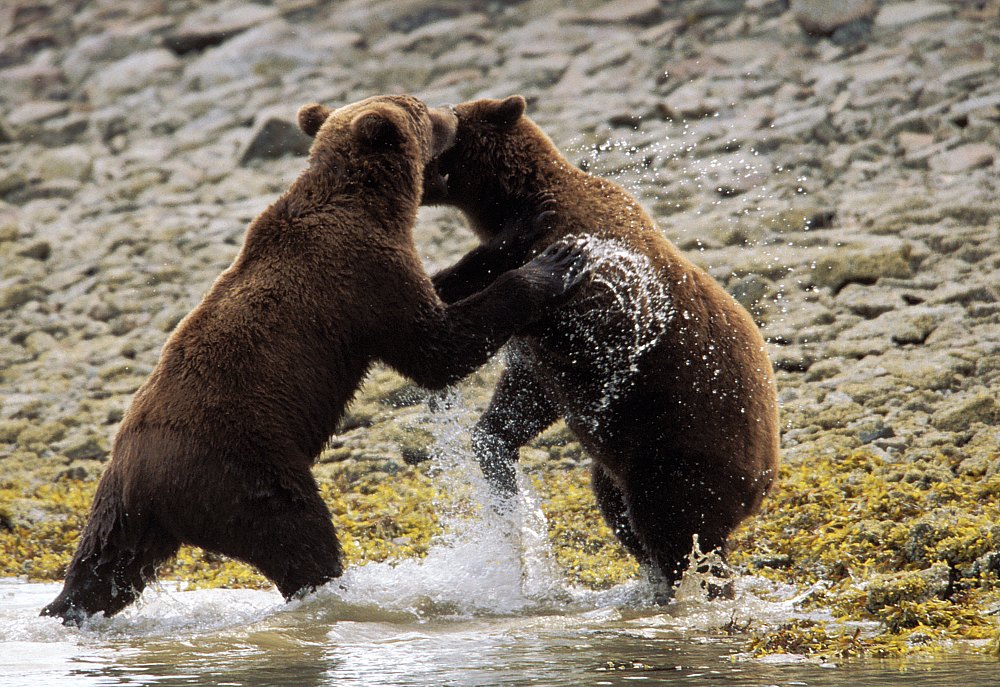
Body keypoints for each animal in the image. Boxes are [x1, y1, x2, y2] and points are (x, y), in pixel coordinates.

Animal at [43, 94, 584, 628]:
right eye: (421, 107)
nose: (449, 111)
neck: (374, 203)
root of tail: (146, 483)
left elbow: (442, 293)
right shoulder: (362, 275)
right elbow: (436, 348)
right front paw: (546, 253)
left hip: (119, 506)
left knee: (103, 565)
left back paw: (66, 607)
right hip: (242, 468)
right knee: (299, 537)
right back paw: (334, 592)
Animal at [422, 94, 780, 592]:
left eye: (446, 117)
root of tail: (763, 482)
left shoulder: (601, 283)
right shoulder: (547, 360)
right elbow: (525, 395)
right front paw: (495, 450)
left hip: (682, 455)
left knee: (672, 530)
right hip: (630, 467)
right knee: (620, 510)